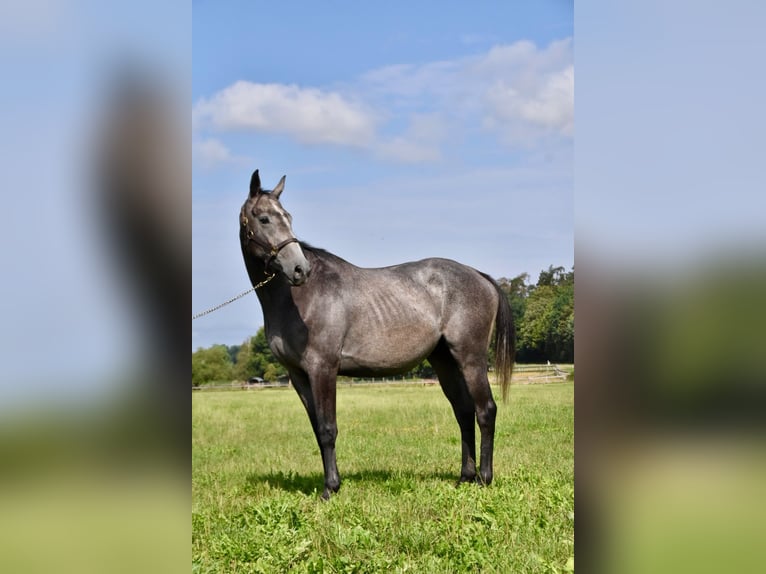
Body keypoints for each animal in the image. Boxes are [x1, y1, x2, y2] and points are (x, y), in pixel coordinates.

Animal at [240, 169, 515, 500]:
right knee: (463, 412)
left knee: (485, 411)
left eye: (288, 217)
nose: (299, 269)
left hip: (471, 359)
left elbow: (328, 429)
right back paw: (465, 477)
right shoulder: (298, 376)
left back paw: (485, 478)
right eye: (264, 218)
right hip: (445, 361)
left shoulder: (323, 368)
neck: (298, 298)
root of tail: (480, 276)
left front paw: (330, 489)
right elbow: (318, 430)